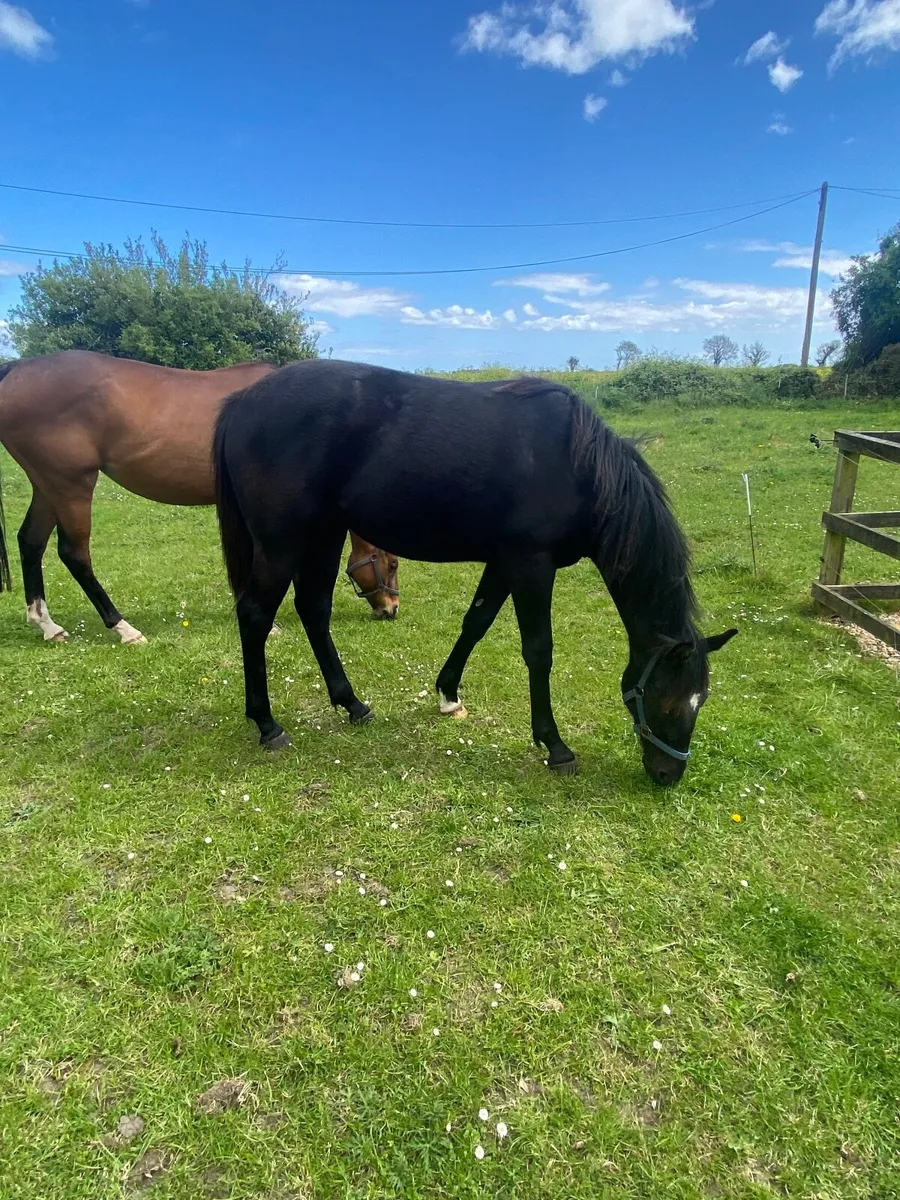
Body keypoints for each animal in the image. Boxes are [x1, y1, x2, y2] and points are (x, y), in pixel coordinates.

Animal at [0, 351, 399, 644]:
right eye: (393, 564)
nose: (391, 608)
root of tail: (16, 369)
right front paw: (268, 624)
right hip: (72, 485)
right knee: (74, 554)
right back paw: (124, 628)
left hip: (48, 486)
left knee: (30, 542)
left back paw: (47, 625)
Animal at [211, 359, 737, 785]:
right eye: (669, 701)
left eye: (701, 701)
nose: (668, 776)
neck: (576, 463)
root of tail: (243, 402)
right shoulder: (531, 565)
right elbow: (538, 651)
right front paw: (555, 746)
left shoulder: (504, 562)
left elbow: (476, 622)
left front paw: (448, 694)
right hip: (281, 543)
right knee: (256, 615)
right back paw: (267, 724)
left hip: (323, 533)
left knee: (314, 610)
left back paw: (352, 704)